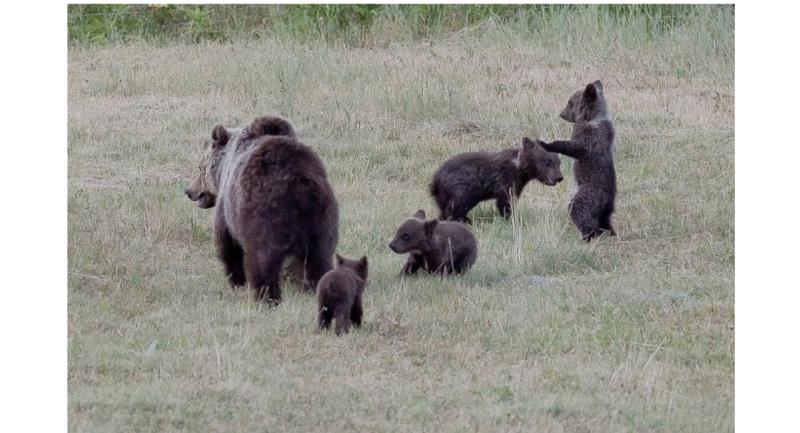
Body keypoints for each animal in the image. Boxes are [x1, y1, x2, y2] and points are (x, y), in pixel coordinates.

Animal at [187, 115, 338, 304]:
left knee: (262, 260)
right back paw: (316, 289)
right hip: (321, 220)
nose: (189, 191)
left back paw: (266, 296)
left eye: (200, 167)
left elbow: (227, 242)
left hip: (263, 216)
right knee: (319, 259)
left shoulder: (228, 204)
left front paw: (236, 281)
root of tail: (300, 187)